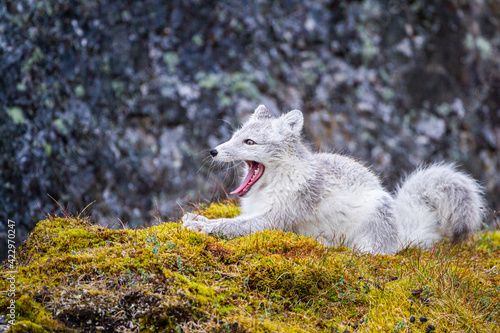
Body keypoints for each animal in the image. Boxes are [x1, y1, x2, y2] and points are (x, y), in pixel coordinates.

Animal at [183, 105, 484, 253]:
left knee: (366, 253)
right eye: (234, 136)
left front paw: (202, 226)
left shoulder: (275, 219)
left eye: (249, 142)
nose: (213, 151)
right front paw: (199, 218)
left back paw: (327, 244)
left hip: (375, 213)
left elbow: (233, 225)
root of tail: (400, 233)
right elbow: (233, 219)